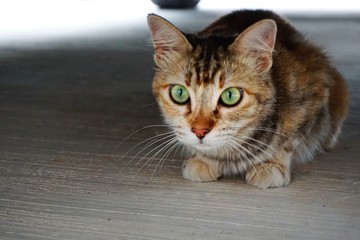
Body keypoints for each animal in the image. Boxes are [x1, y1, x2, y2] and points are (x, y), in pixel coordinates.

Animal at [146, 9, 348, 188]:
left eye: (230, 96)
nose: (200, 131)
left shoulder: (315, 92)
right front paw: (203, 160)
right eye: (179, 93)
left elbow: (289, 140)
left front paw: (271, 164)